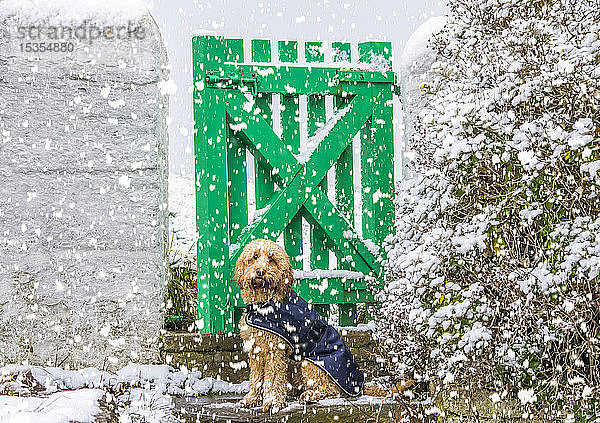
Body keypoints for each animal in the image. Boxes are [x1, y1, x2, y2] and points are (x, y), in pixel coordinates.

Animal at [237, 240, 364, 412]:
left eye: (272, 259)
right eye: (254, 257)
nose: (260, 271)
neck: (263, 305)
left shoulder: (275, 349)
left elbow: (273, 378)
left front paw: (273, 402)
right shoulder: (256, 349)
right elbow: (256, 377)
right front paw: (251, 399)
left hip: (310, 363)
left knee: (330, 390)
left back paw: (309, 396)